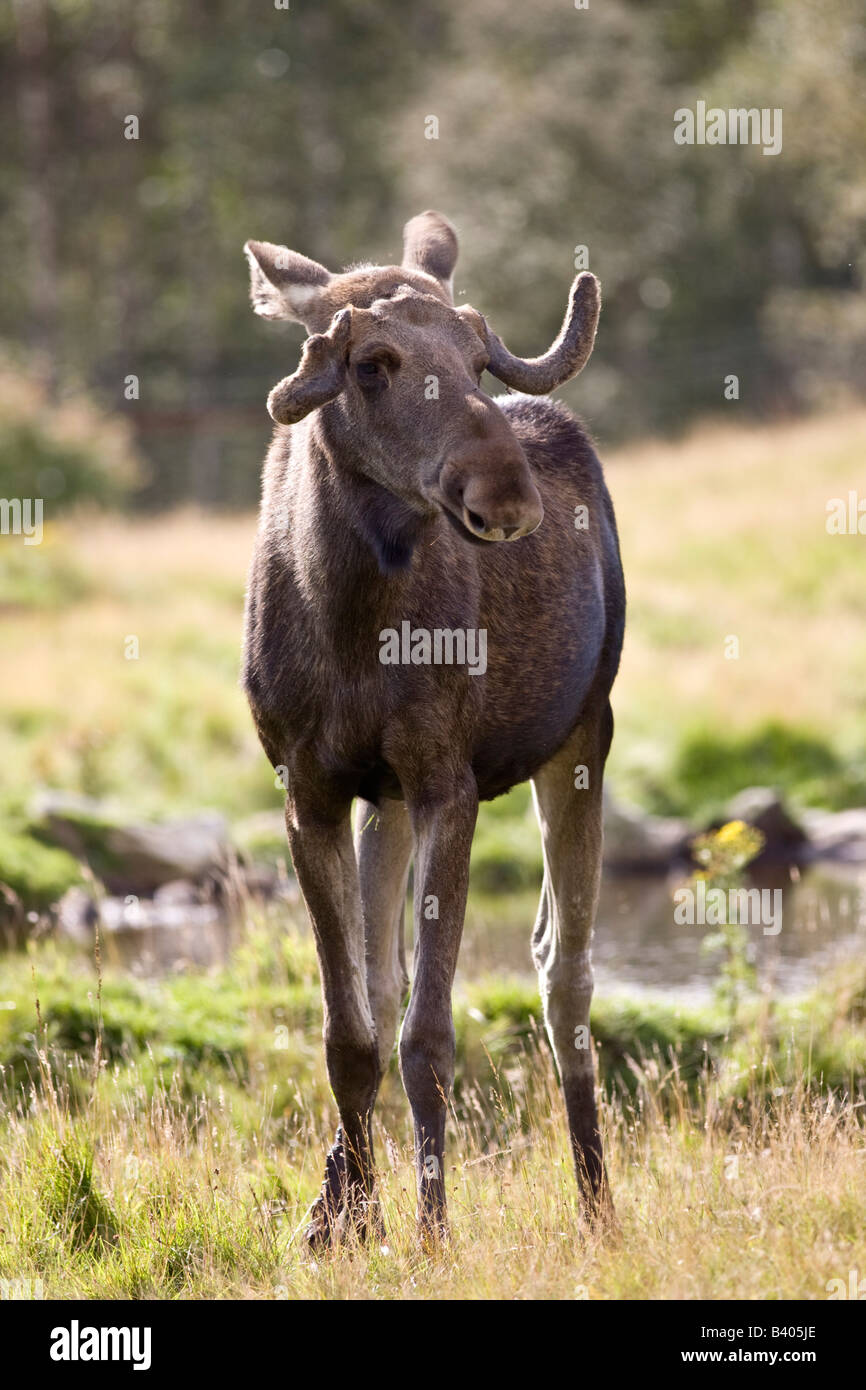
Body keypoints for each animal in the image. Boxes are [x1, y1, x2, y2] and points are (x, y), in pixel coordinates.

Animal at [241, 211, 622, 1245]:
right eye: (372, 363)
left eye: (478, 357)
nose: (506, 494)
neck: (350, 622)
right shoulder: (313, 790)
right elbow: (352, 1030)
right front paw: (348, 1213)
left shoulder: (449, 782)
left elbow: (429, 1035)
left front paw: (431, 1230)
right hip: (388, 800)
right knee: (387, 980)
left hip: (583, 736)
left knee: (563, 972)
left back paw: (598, 1202)